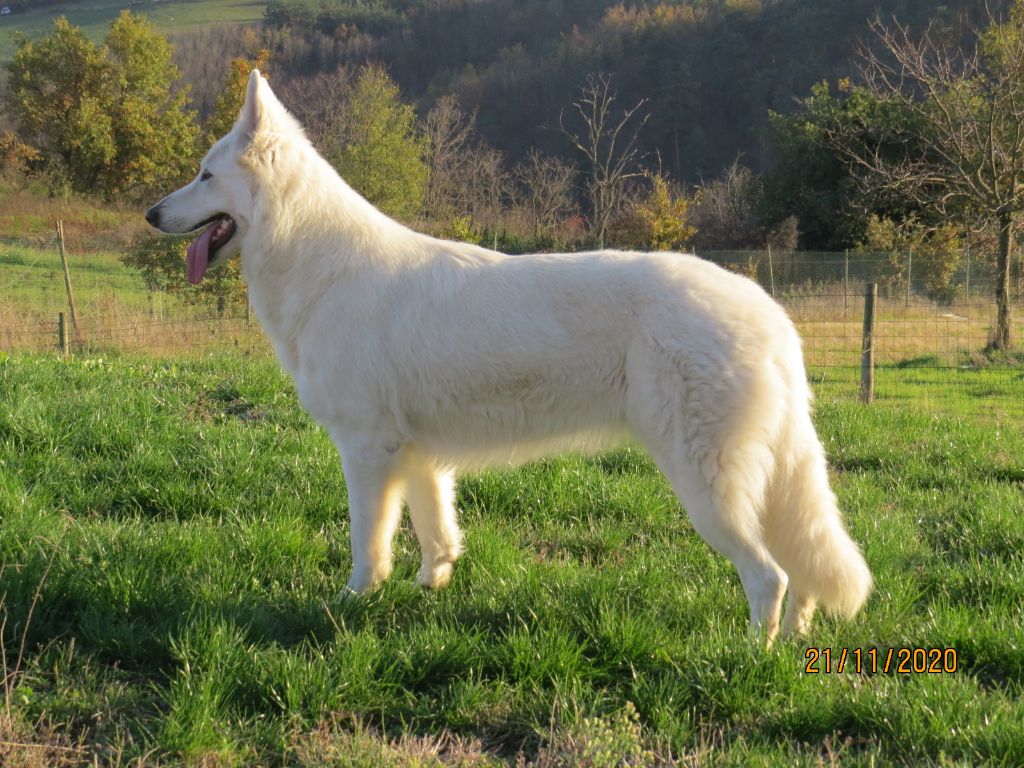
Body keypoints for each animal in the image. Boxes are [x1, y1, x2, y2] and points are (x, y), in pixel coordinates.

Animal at [145, 71, 871, 642]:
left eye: (205, 176)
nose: (151, 214)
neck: (316, 262)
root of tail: (769, 312)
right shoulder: (419, 457)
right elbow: (437, 537)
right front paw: (427, 591)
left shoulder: (368, 451)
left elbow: (367, 546)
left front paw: (352, 605)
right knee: (800, 572)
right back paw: (796, 647)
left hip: (706, 485)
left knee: (769, 575)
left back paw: (749, 659)